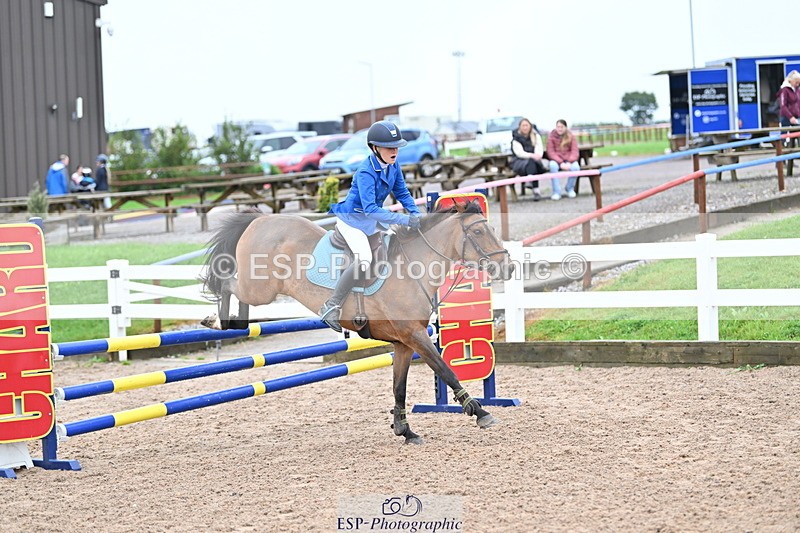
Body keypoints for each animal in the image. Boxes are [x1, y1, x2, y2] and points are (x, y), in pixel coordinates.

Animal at [201, 200, 514, 444]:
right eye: (478, 231)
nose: (508, 267)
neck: (413, 268)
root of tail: (261, 219)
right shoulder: (415, 335)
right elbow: (446, 370)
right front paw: (480, 412)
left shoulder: (403, 342)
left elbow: (399, 387)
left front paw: (405, 430)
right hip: (259, 287)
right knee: (227, 282)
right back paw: (215, 321)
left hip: (258, 289)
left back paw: (232, 323)